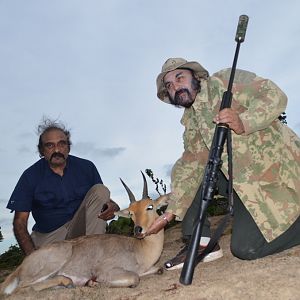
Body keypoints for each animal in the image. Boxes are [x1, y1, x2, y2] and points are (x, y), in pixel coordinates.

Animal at [0, 172, 169, 294]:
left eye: (150, 206)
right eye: (131, 213)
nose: (138, 230)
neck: (139, 249)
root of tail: (21, 266)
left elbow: (160, 268)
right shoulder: (107, 271)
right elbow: (134, 278)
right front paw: (93, 282)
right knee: (24, 287)